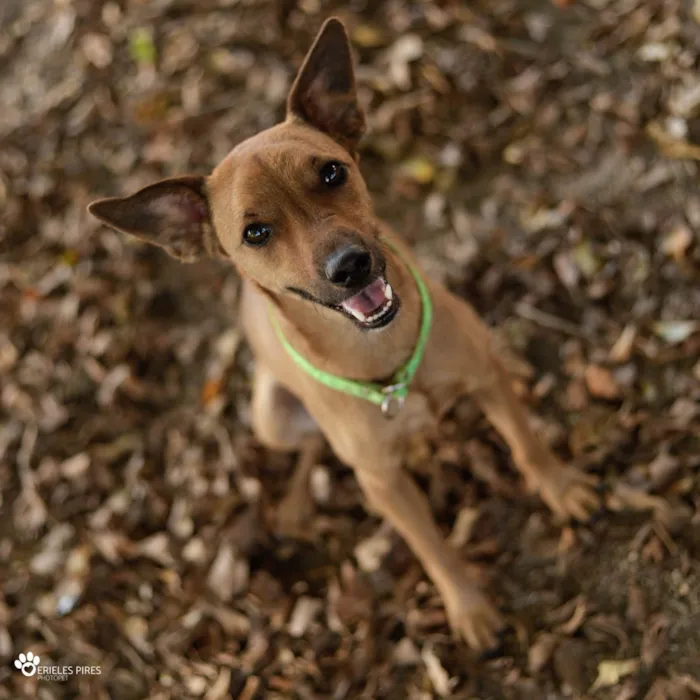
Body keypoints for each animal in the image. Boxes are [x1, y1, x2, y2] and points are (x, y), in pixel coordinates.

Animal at [87, 17, 600, 652]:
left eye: (332, 172)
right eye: (255, 232)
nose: (349, 266)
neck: (381, 356)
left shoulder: (483, 382)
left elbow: (526, 444)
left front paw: (559, 486)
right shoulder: (384, 484)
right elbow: (432, 547)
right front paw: (469, 607)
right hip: (271, 417)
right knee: (310, 446)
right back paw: (298, 506)